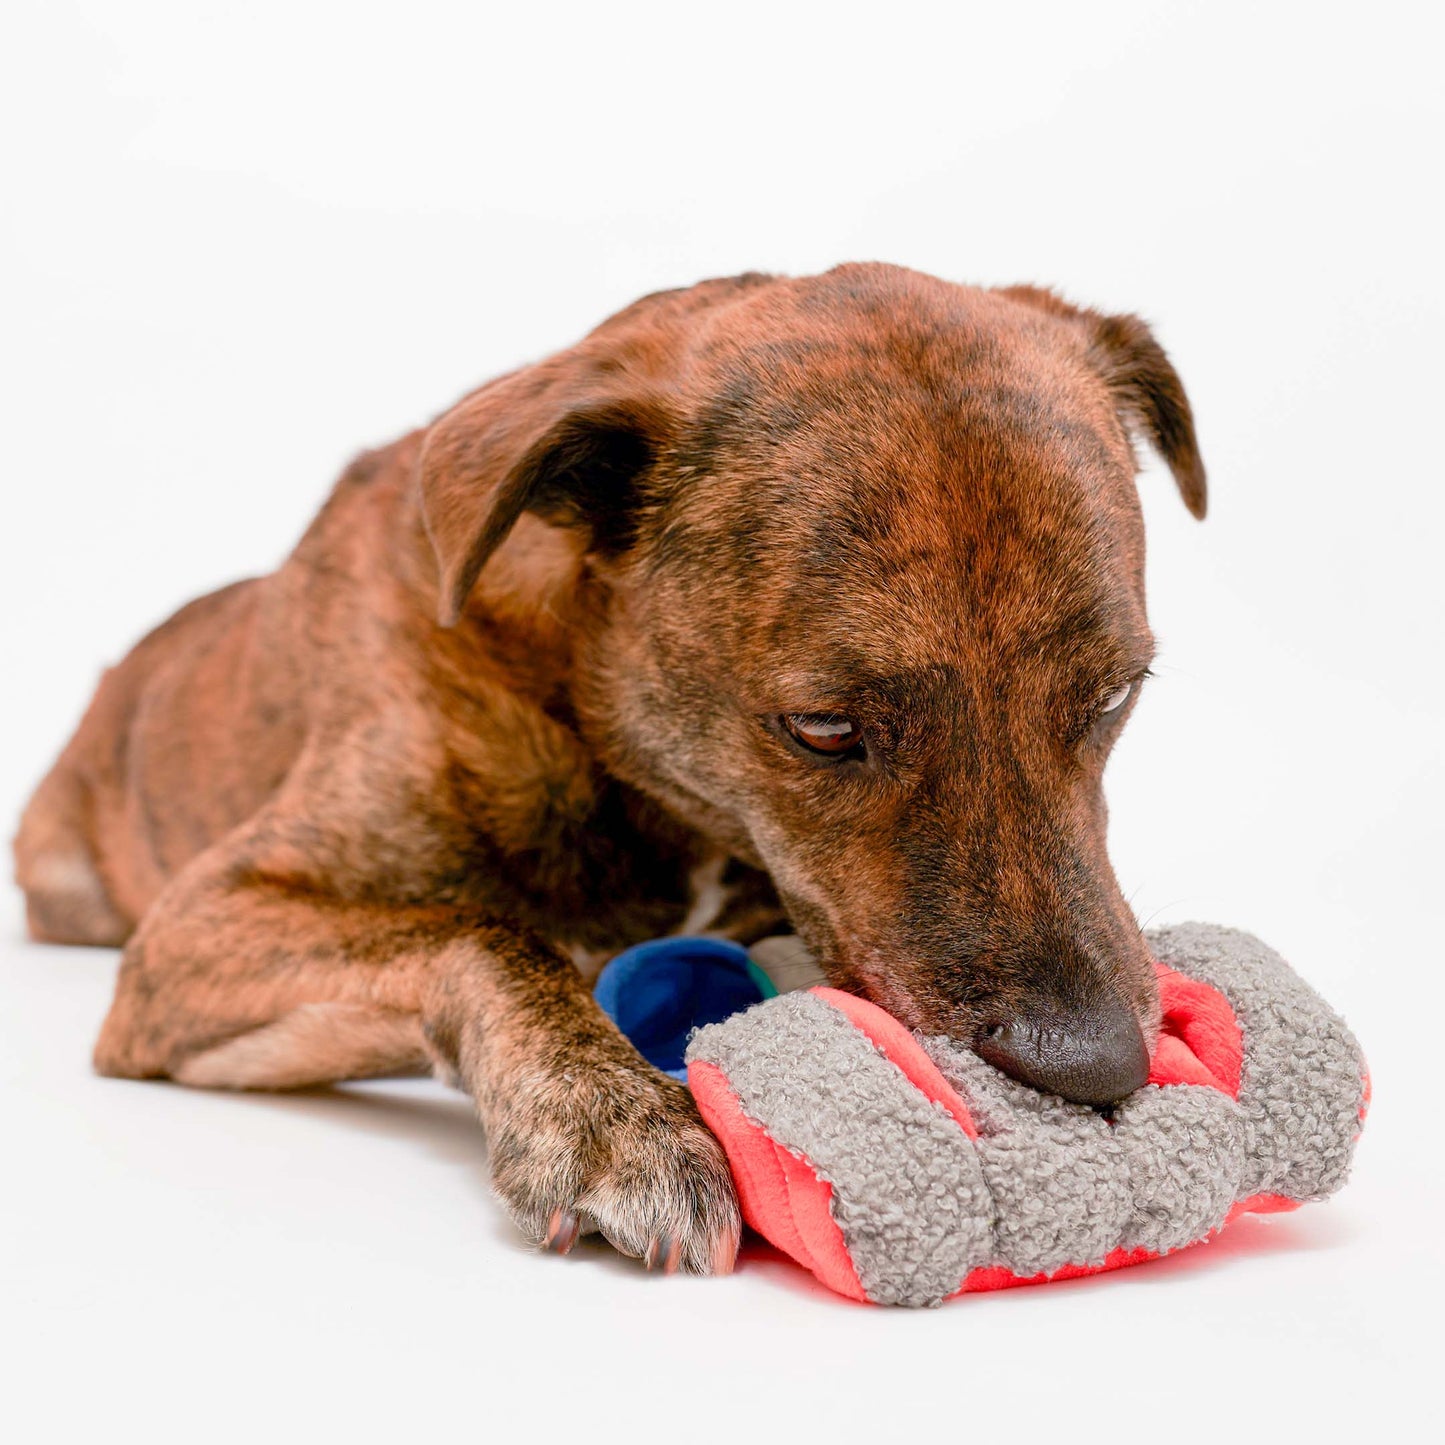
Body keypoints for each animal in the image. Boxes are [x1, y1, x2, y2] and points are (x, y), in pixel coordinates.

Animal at [14, 262, 1208, 1277]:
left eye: (1115, 693)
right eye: (823, 727)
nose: (1096, 1066)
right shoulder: (192, 932)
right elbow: (482, 933)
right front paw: (611, 1120)